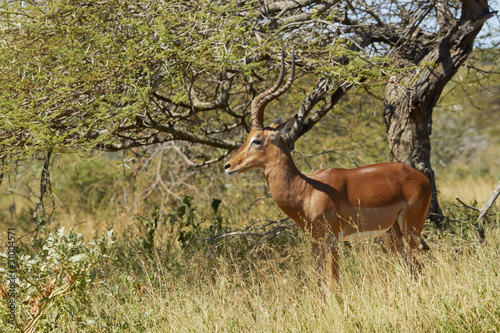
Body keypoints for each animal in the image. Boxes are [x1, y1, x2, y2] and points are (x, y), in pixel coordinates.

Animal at [225, 50, 432, 286]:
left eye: (257, 140)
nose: (228, 165)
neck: (307, 190)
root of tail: (423, 178)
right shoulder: (315, 241)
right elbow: (318, 282)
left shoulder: (333, 239)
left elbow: (334, 281)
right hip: (390, 233)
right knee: (411, 269)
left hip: (410, 230)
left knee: (419, 268)